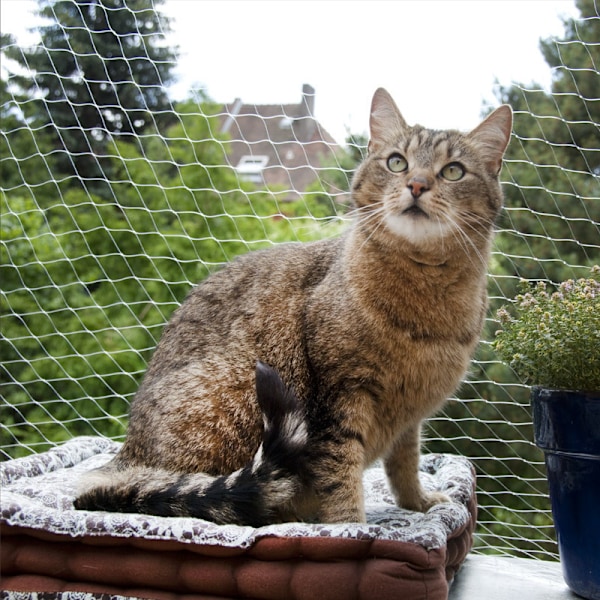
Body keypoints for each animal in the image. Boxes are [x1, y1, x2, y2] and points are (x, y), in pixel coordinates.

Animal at [75, 88, 512, 524]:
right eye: (397, 162)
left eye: (453, 171)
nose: (417, 184)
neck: (425, 298)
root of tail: (124, 459)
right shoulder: (338, 399)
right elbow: (342, 479)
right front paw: (353, 529)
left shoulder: (409, 417)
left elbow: (404, 464)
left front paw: (417, 503)